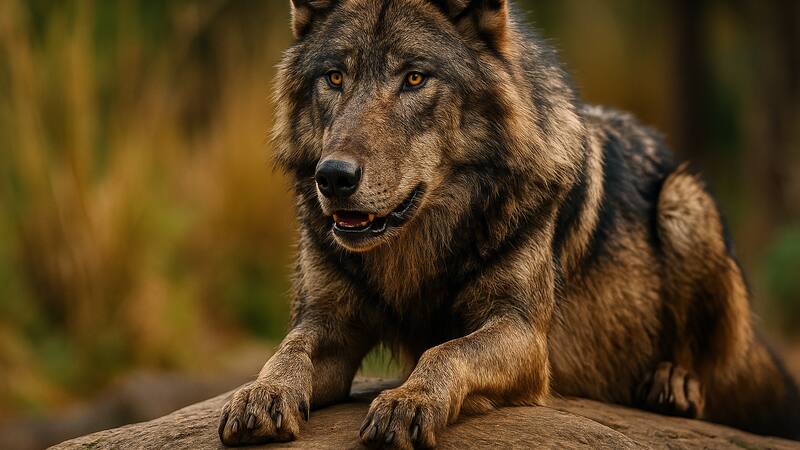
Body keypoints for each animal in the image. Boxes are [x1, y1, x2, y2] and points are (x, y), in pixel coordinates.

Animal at [217, 0, 800, 447]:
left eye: (414, 78)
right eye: (335, 77)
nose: (333, 177)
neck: (418, 249)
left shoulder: (521, 333)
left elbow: (445, 351)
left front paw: (409, 398)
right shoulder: (327, 322)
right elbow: (287, 352)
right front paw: (260, 394)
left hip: (684, 200)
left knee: (707, 362)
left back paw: (674, 384)